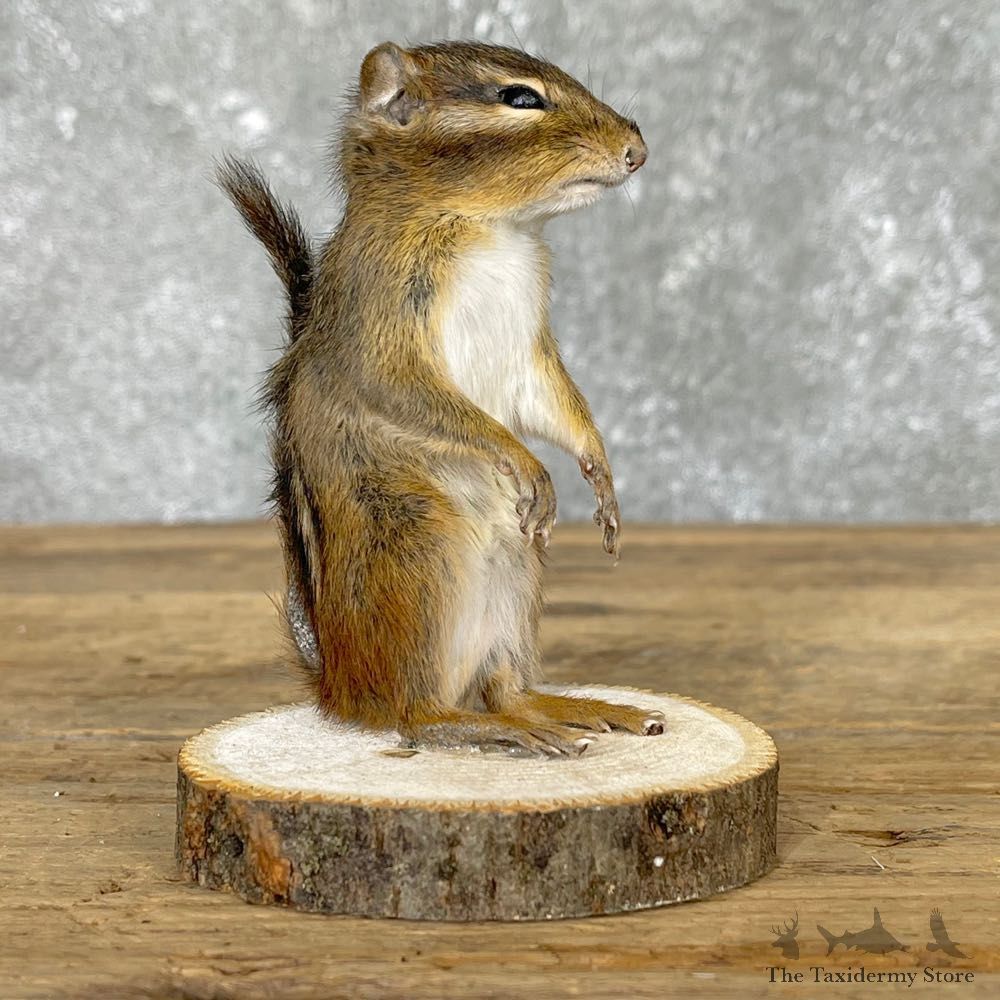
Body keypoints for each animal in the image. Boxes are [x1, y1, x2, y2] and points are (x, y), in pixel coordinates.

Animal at [218, 40, 661, 755]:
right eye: (519, 98)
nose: (637, 151)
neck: (492, 229)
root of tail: (338, 690)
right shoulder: (382, 328)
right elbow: (414, 395)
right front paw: (528, 463)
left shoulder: (530, 355)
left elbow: (556, 404)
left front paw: (601, 475)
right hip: (421, 552)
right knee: (415, 715)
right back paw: (488, 730)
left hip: (517, 568)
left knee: (506, 689)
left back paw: (572, 711)